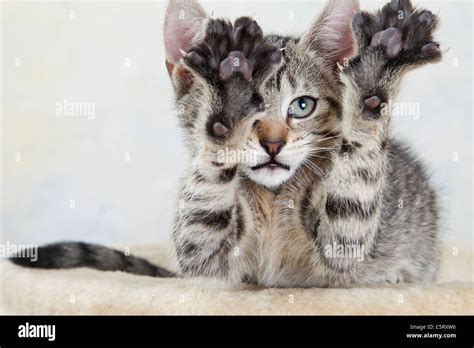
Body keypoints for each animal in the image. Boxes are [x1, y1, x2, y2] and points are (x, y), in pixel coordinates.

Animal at [10, 0, 440, 288]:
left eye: (302, 105)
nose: (272, 143)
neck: (271, 199)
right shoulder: (203, 257)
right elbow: (203, 215)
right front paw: (229, 99)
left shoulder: (347, 244)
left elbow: (352, 203)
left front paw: (374, 76)